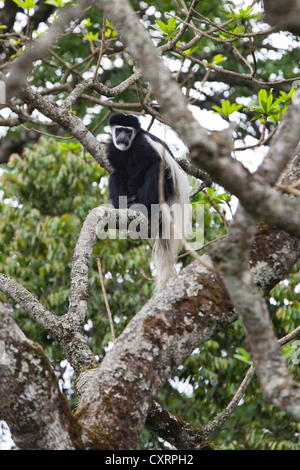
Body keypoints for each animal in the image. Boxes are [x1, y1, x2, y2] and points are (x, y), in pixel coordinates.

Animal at [106, 114, 189, 288]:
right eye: (119, 130)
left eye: (128, 131)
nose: (122, 138)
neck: (129, 148)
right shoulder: (113, 149)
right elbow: (118, 170)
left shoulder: (142, 144)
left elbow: (150, 162)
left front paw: (132, 186)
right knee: (115, 175)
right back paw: (125, 205)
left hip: (166, 188)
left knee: (156, 168)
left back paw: (142, 206)